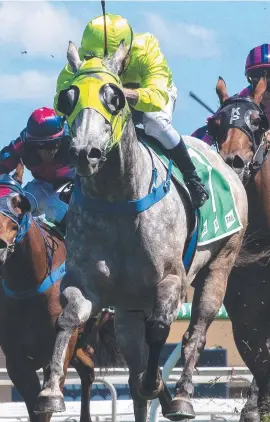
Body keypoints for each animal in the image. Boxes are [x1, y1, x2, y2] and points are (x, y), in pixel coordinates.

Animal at [0, 162, 122, 422]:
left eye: (19, 202)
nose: (0, 245)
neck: (28, 286)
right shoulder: (15, 360)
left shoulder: (55, 352)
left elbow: (46, 402)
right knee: (87, 369)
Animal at [34, 40, 248, 422]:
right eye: (68, 97)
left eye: (114, 97)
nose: (85, 153)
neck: (118, 199)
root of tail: (223, 160)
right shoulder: (88, 283)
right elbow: (68, 318)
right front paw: (50, 392)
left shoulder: (172, 279)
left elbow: (161, 329)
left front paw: (159, 384)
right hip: (128, 310)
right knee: (135, 369)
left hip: (221, 263)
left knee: (195, 332)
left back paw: (182, 397)